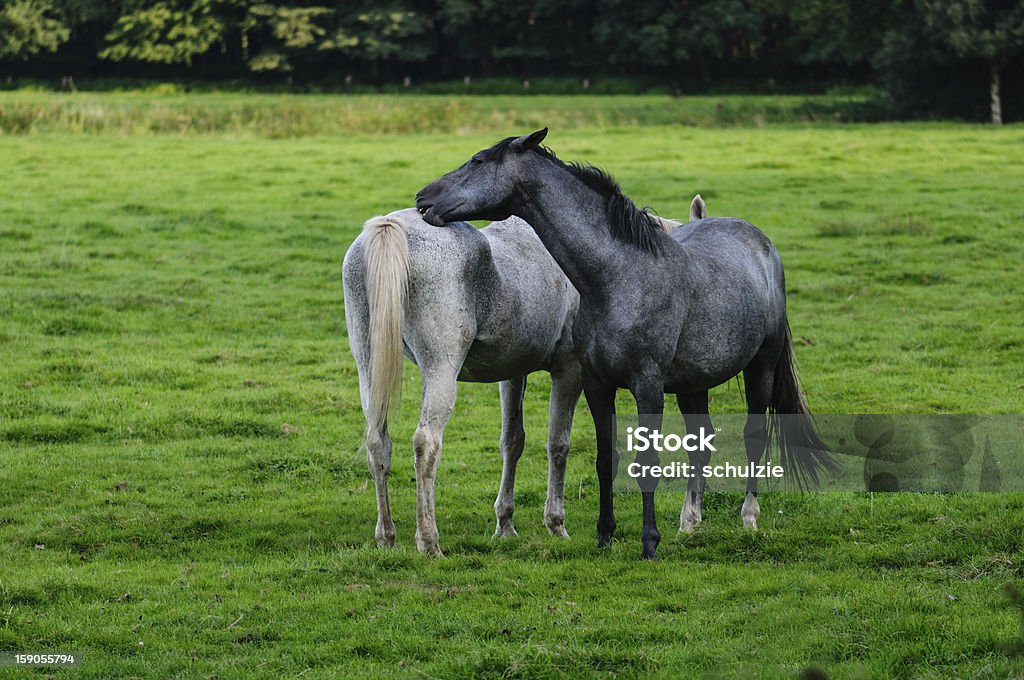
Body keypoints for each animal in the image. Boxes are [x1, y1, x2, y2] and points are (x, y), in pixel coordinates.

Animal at [415, 130, 831, 561]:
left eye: (479, 160)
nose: (423, 198)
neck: (617, 276)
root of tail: (761, 242)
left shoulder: (647, 386)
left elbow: (647, 462)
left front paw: (649, 542)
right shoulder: (598, 385)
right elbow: (605, 459)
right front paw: (605, 535)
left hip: (761, 366)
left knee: (754, 435)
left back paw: (748, 518)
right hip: (693, 382)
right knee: (700, 443)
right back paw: (689, 524)